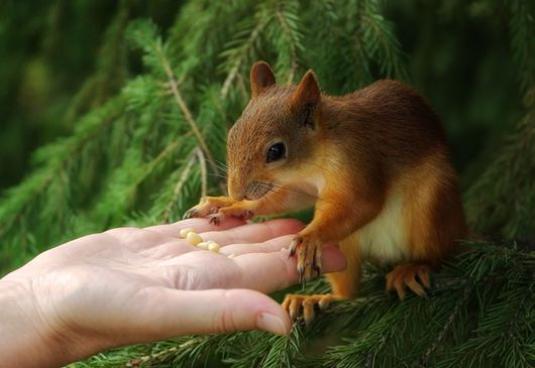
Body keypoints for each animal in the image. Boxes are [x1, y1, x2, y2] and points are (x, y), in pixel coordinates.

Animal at [185, 61, 468, 324]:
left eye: (276, 151)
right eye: (231, 135)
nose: (235, 191)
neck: (314, 160)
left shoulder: (358, 158)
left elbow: (362, 204)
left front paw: (310, 238)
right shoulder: (301, 186)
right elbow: (286, 199)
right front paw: (232, 206)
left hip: (431, 206)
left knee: (439, 254)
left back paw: (412, 269)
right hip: (345, 246)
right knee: (348, 293)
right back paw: (314, 299)